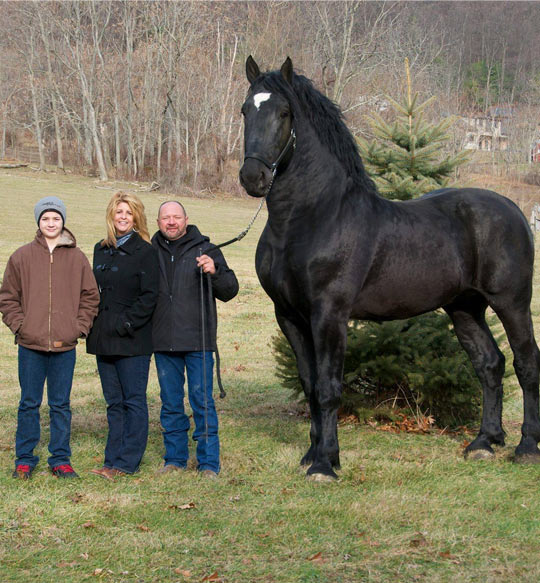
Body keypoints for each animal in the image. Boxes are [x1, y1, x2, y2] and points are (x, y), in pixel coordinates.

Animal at [239, 57, 540, 482]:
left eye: (284, 113)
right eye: (245, 111)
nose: (253, 178)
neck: (312, 217)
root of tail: (514, 210)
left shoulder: (329, 315)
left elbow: (329, 388)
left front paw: (325, 464)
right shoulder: (290, 316)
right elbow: (310, 385)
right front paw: (313, 453)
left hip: (511, 302)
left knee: (525, 363)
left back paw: (526, 447)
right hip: (465, 307)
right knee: (490, 365)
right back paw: (484, 442)